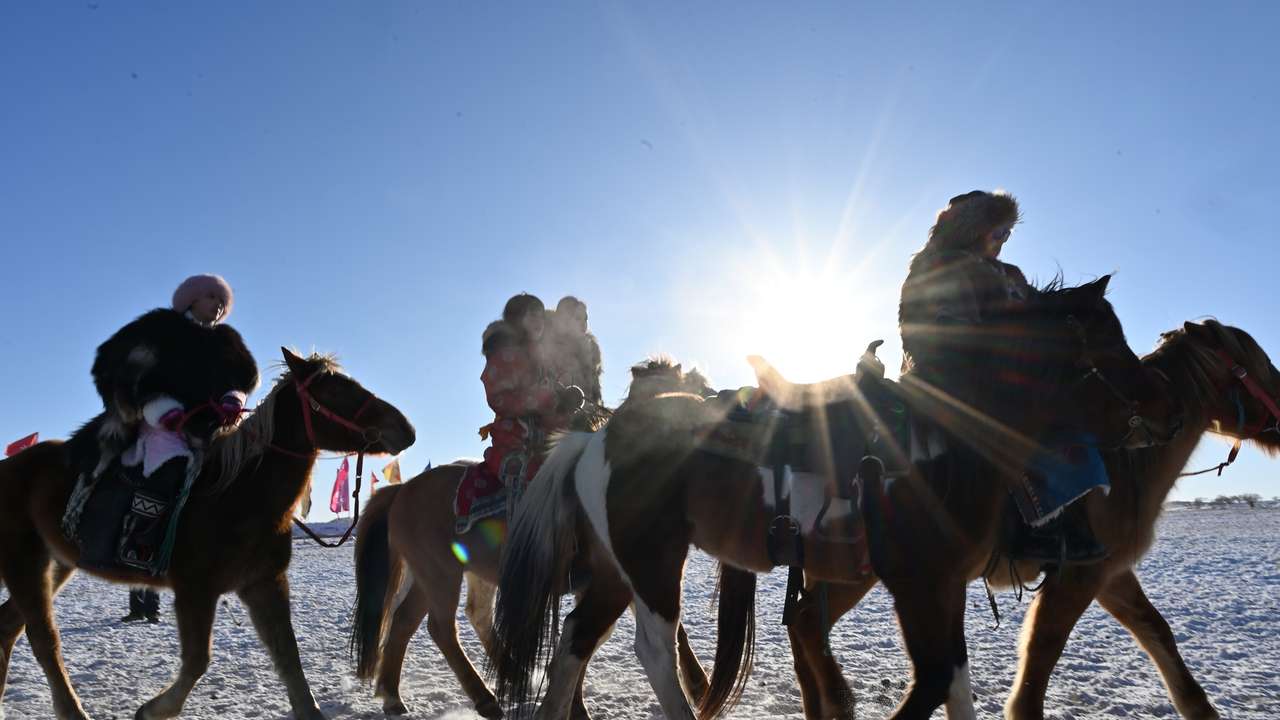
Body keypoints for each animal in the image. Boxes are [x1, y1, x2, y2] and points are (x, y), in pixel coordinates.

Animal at [0, 348, 415, 720]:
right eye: (337, 391)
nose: (406, 430)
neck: (239, 493)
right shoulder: (195, 590)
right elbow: (199, 659)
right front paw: (153, 710)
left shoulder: (263, 583)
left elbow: (288, 655)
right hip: (24, 562)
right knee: (43, 639)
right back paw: (72, 710)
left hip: (56, 563)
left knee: (10, 627)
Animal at [348, 359, 709, 719]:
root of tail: (402, 490)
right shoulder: (616, 575)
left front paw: (699, 687)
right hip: (439, 572)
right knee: (440, 627)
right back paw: (485, 698)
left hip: (448, 573)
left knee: (417, 620)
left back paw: (400, 695)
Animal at [489, 276, 1180, 720]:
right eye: (1104, 341)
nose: (1162, 404)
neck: (947, 440)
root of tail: (597, 436)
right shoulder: (917, 583)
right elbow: (933, 681)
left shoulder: (944, 586)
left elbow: (955, 684)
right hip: (654, 561)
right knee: (653, 651)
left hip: (616, 568)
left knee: (573, 643)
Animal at [784, 318, 1280, 720]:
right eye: (1255, 362)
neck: (1127, 465)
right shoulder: (1077, 577)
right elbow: (1042, 651)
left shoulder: (1109, 574)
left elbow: (1156, 629)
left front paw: (1200, 708)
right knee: (809, 623)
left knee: (805, 622)